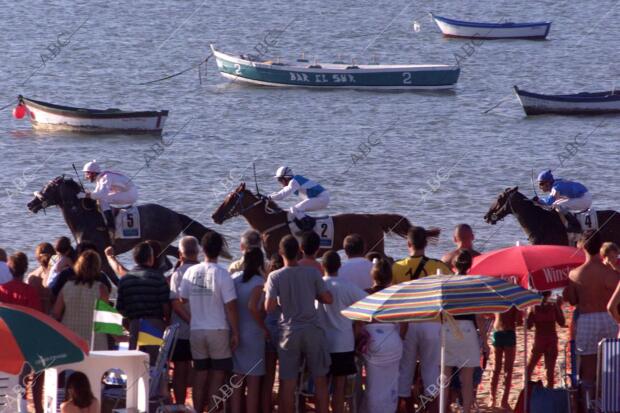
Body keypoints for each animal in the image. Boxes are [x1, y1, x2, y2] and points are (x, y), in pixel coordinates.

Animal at [26, 175, 230, 276]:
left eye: (48, 188)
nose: (31, 204)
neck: (85, 218)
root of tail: (175, 215)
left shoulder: (102, 255)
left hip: (160, 242)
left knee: (167, 261)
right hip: (161, 243)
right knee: (172, 257)